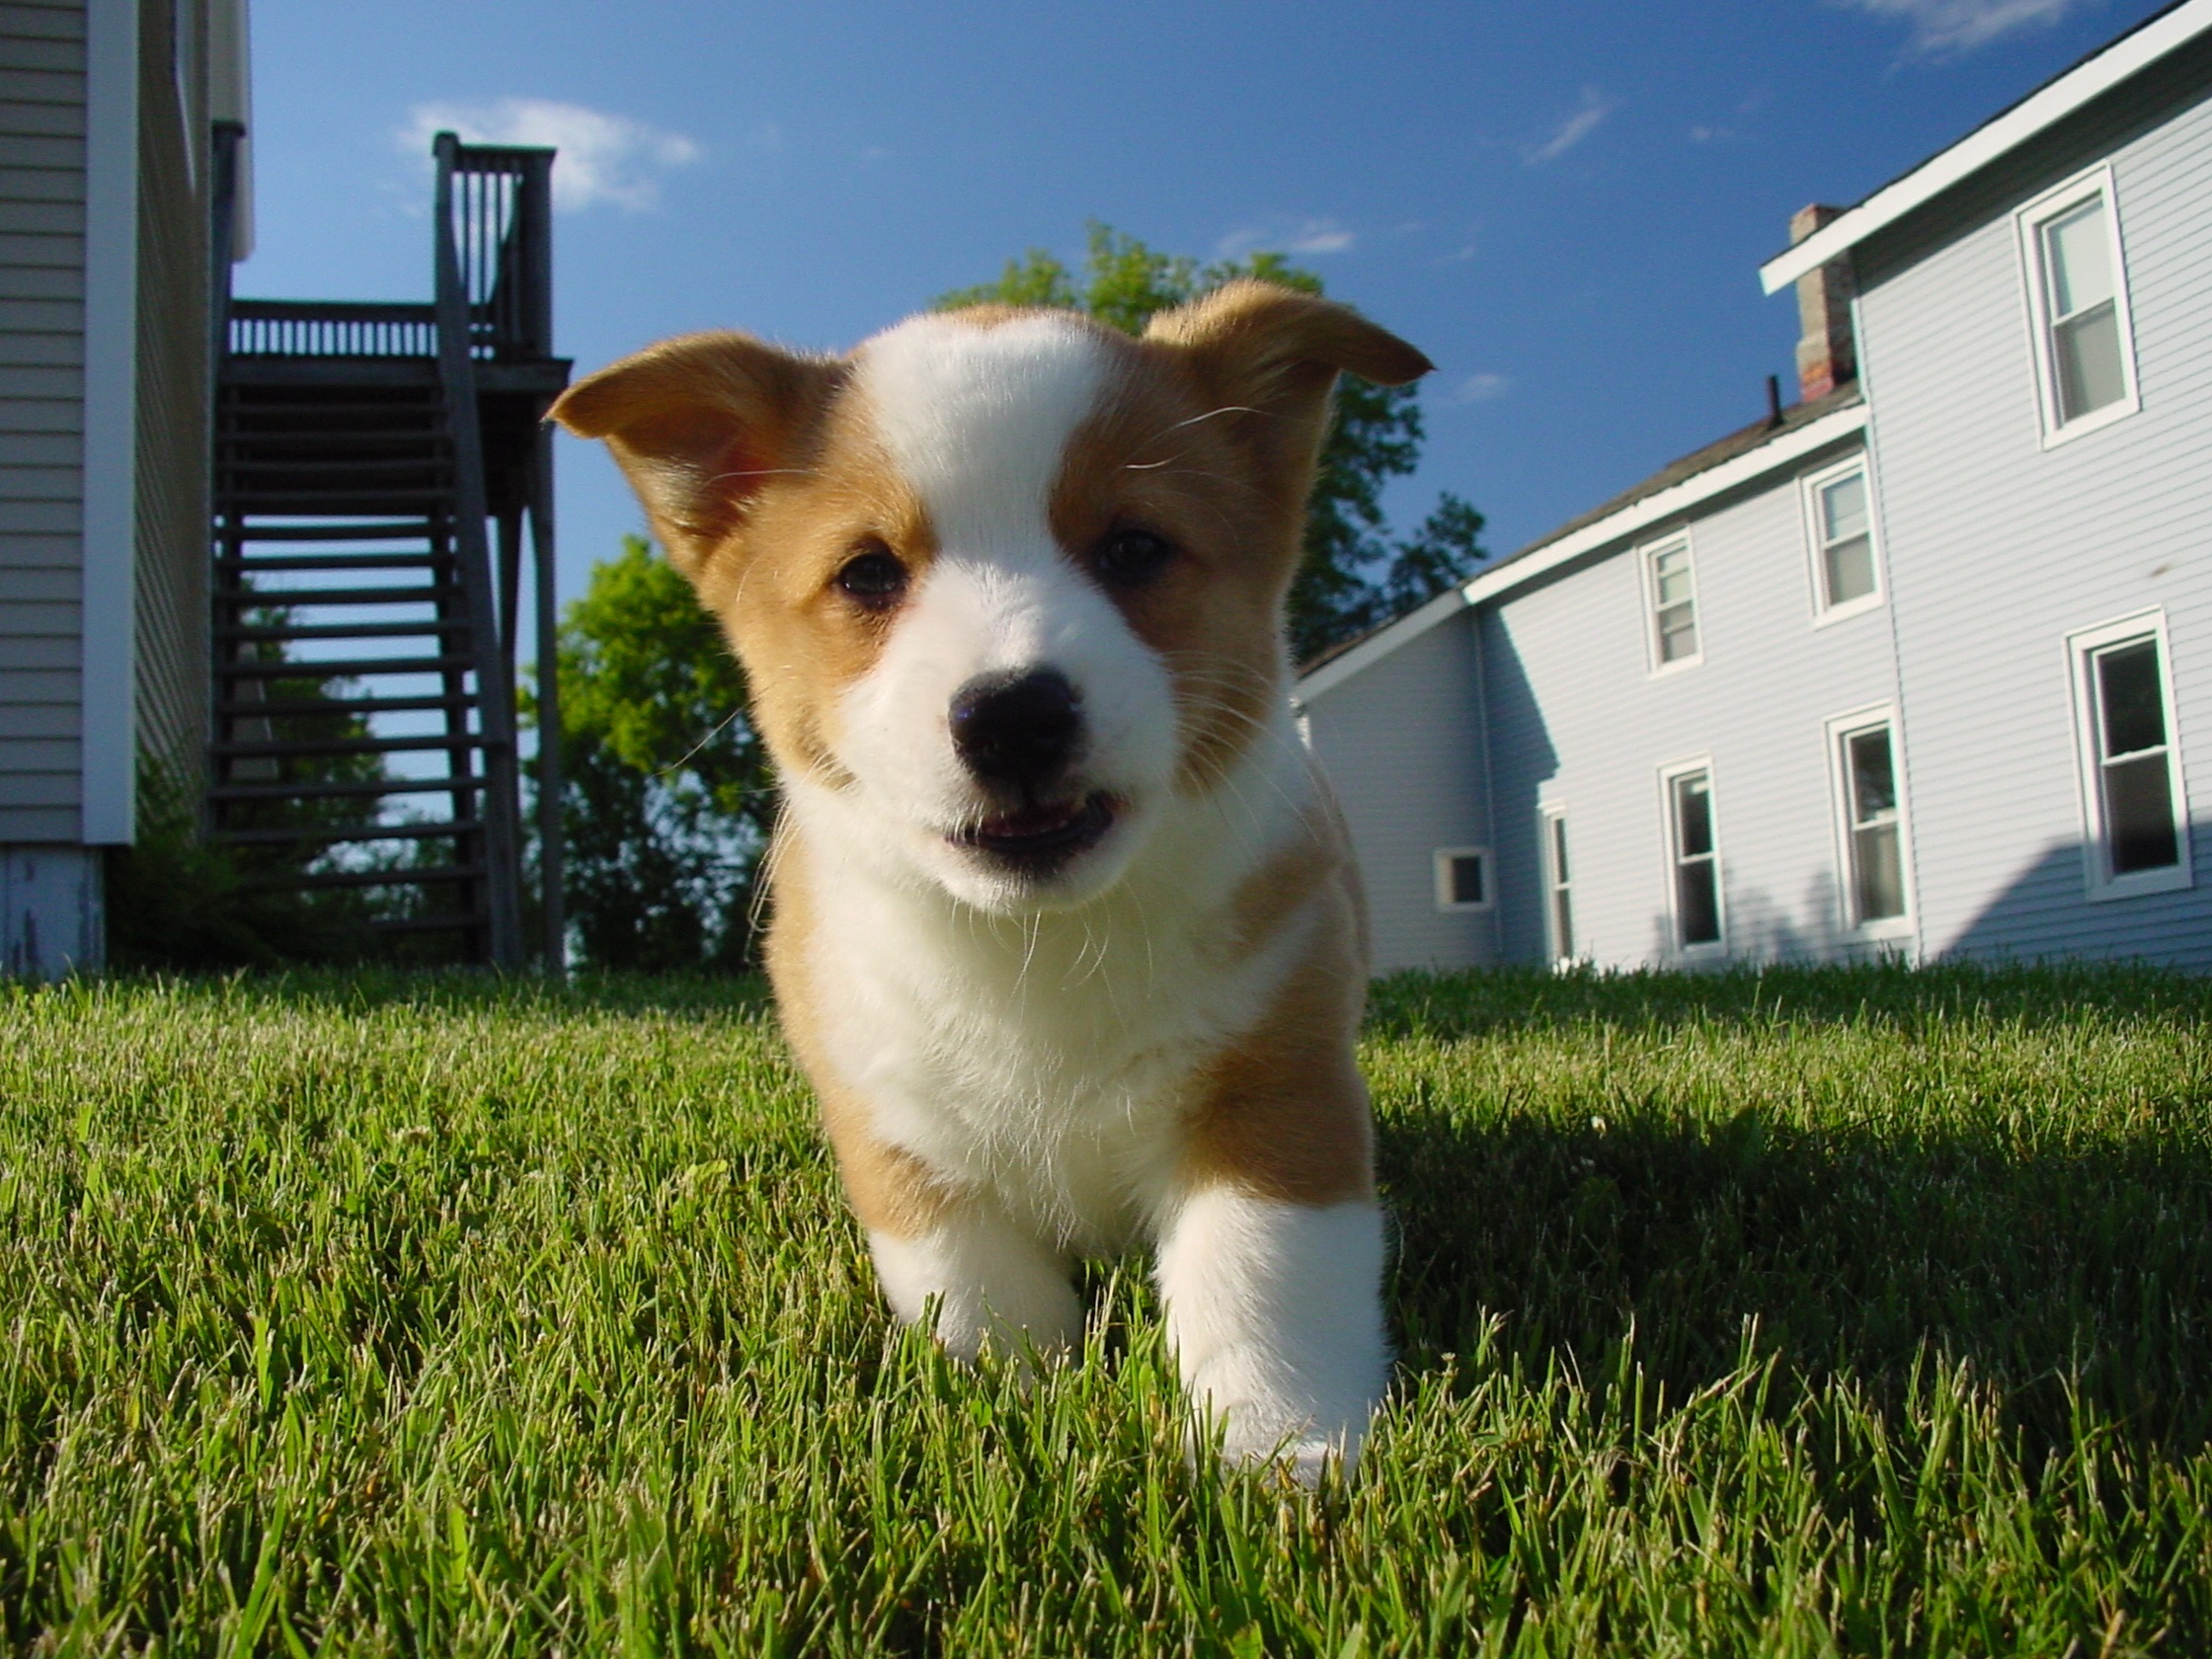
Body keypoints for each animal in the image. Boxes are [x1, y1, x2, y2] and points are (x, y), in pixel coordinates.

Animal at [553, 284, 1433, 1477]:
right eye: (868, 572)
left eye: (1134, 547)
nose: (1013, 713)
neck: (1039, 944)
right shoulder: (895, 1127)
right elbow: (977, 1298)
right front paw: (1017, 1414)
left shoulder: (1275, 1088)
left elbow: (1263, 1279)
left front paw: (1284, 1452)